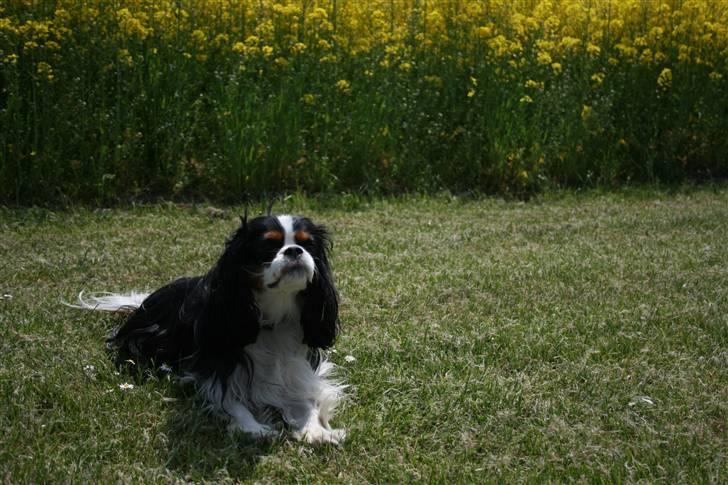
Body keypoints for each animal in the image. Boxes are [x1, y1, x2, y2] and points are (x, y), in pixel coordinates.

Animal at [72, 214, 346, 444]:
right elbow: (228, 400)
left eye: (308, 245)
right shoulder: (212, 367)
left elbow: (307, 400)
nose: (294, 250)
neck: (273, 319)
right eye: (268, 246)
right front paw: (253, 427)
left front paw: (315, 430)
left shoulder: (298, 369)